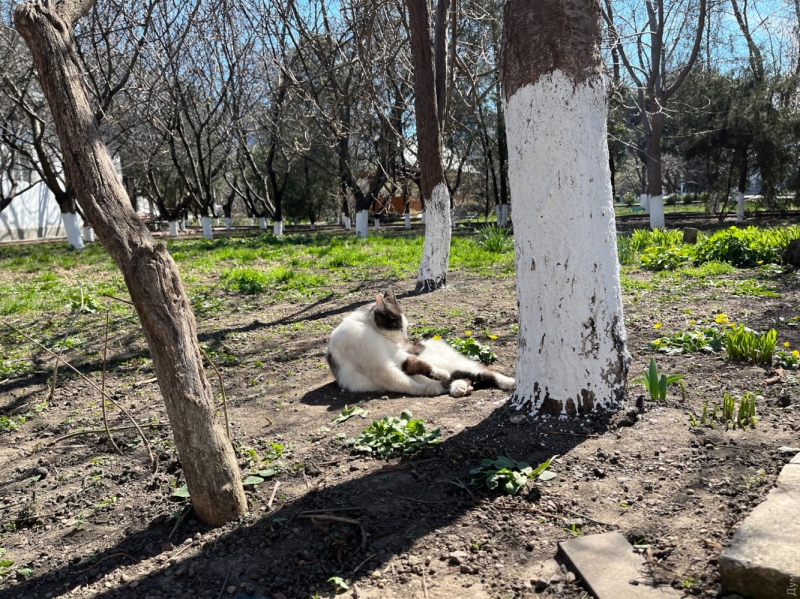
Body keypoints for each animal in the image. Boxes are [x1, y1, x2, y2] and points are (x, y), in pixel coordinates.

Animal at [326, 290, 520, 398]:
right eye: (400, 327)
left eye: (405, 328)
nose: (405, 339)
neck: (366, 326)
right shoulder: (381, 366)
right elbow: (403, 379)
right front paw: (429, 387)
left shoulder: (397, 356)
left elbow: (416, 363)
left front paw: (436, 376)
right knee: (467, 376)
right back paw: (458, 386)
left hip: (457, 363)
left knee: (484, 371)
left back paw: (508, 382)